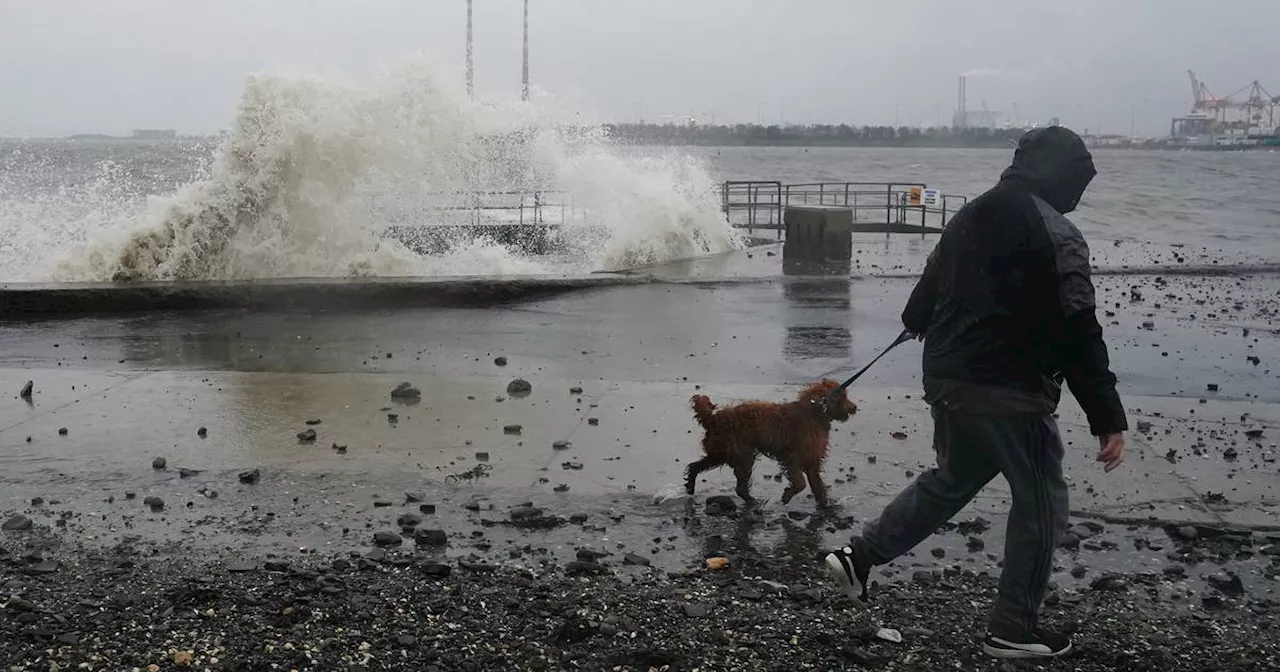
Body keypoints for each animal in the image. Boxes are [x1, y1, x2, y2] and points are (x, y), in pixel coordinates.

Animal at [686, 378, 855, 506]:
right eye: (844, 397)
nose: (854, 407)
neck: (816, 412)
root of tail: (713, 418)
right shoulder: (792, 457)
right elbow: (800, 483)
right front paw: (787, 495)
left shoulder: (812, 460)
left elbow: (817, 485)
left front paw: (824, 504)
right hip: (740, 453)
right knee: (740, 486)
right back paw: (753, 501)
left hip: (723, 452)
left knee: (696, 466)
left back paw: (690, 486)